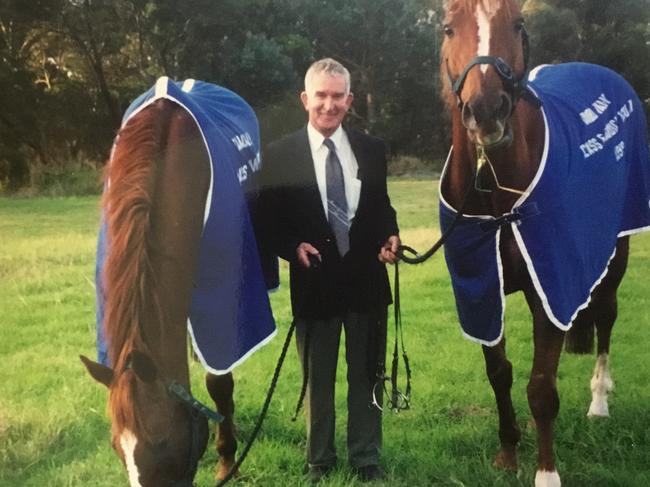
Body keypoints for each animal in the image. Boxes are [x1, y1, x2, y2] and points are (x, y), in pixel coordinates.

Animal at [436, 0, 648, 487]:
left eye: (517, 24)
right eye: (448, 28)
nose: (486, 111)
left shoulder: (548, 283)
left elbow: (541, 387)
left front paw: (546, 472)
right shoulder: (484, 288)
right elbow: (500, 373)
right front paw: (508, 452)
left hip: (615, 255)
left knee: (606, 318)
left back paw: (599, 402)